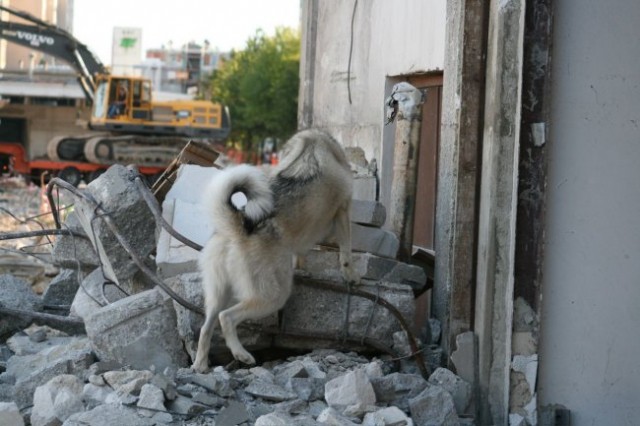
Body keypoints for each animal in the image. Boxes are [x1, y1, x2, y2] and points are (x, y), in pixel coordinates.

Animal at [192, 128, 358, 372]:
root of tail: (237, 228)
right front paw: (350, 274)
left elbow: (301, 255)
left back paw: (200, 365)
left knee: (206, 328)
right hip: (273, 296)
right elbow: (346, 250)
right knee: (227, 318)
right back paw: (242, 354)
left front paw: (303, 269)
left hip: (218, 293)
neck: (313, 141)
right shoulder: (343, 211)